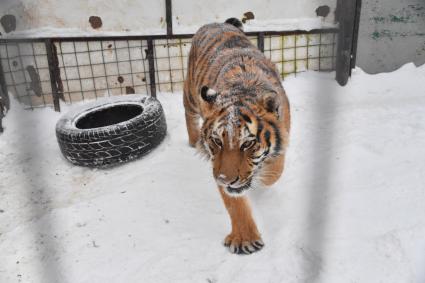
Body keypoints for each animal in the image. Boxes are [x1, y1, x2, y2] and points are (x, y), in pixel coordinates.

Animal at [182, 17, 288, 255]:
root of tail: (216, 23)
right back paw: (193, 142)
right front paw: (245, 240)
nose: (224, 178)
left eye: (247, 143)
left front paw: (262, 179)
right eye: (217, 141)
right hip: (191, 94)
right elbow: (235, 202)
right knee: (188, 113)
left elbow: (274, 172)